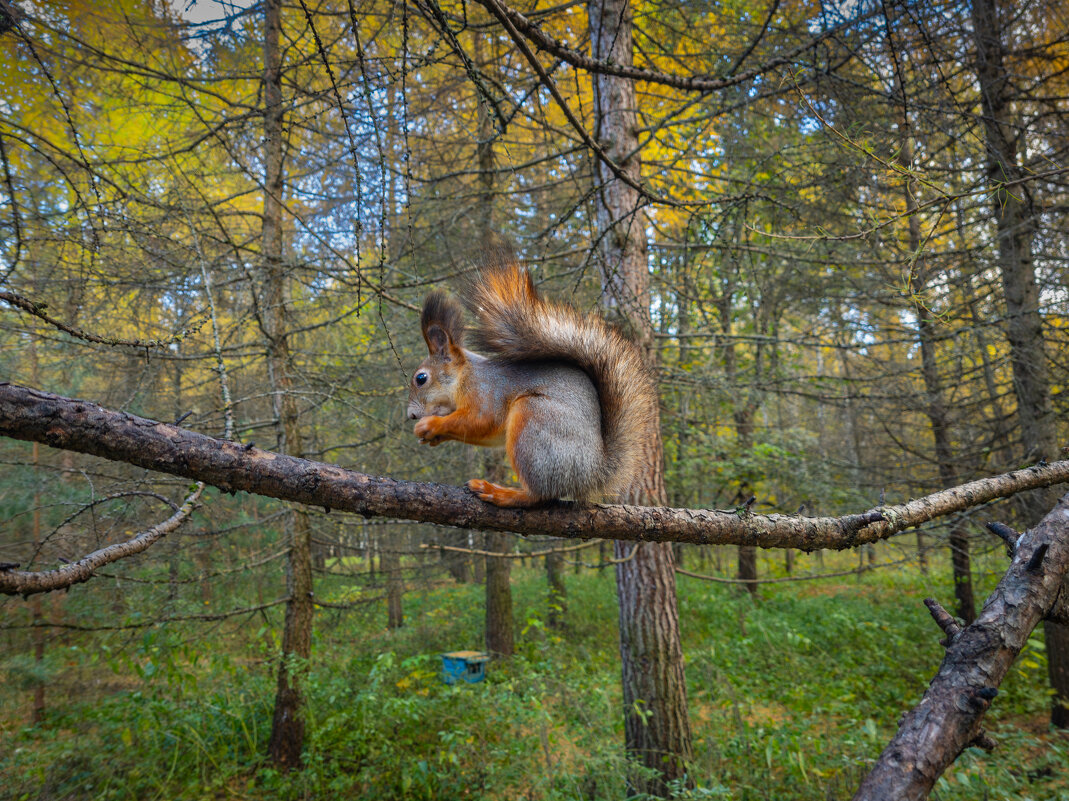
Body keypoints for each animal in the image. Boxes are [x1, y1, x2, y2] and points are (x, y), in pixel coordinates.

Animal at [408, 256, 658, 506]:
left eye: (421, 378)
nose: (411, 415)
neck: (463, 376)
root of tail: (593, 475)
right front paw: (433, 437)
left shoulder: (486, 391)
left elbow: (481, 420)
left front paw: (431, 425)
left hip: (533, 421)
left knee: (538, 494)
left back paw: (502, 492)